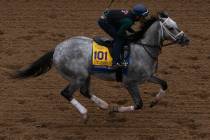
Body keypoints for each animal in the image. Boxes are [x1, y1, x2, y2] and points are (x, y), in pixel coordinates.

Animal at [14, 11, 189, 120]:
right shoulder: (130, 82)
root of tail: (57, 49)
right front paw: (115, 109)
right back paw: (85, 113)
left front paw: (155, 101)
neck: (143, 48)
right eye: (171, 27)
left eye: (176, 24)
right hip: (78, 76)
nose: (186, 39)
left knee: (84, 91)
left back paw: (103, 105)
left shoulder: (148, 76)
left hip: (86, 74)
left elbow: (164, 84)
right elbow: (138, 104)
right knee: (66, 93)